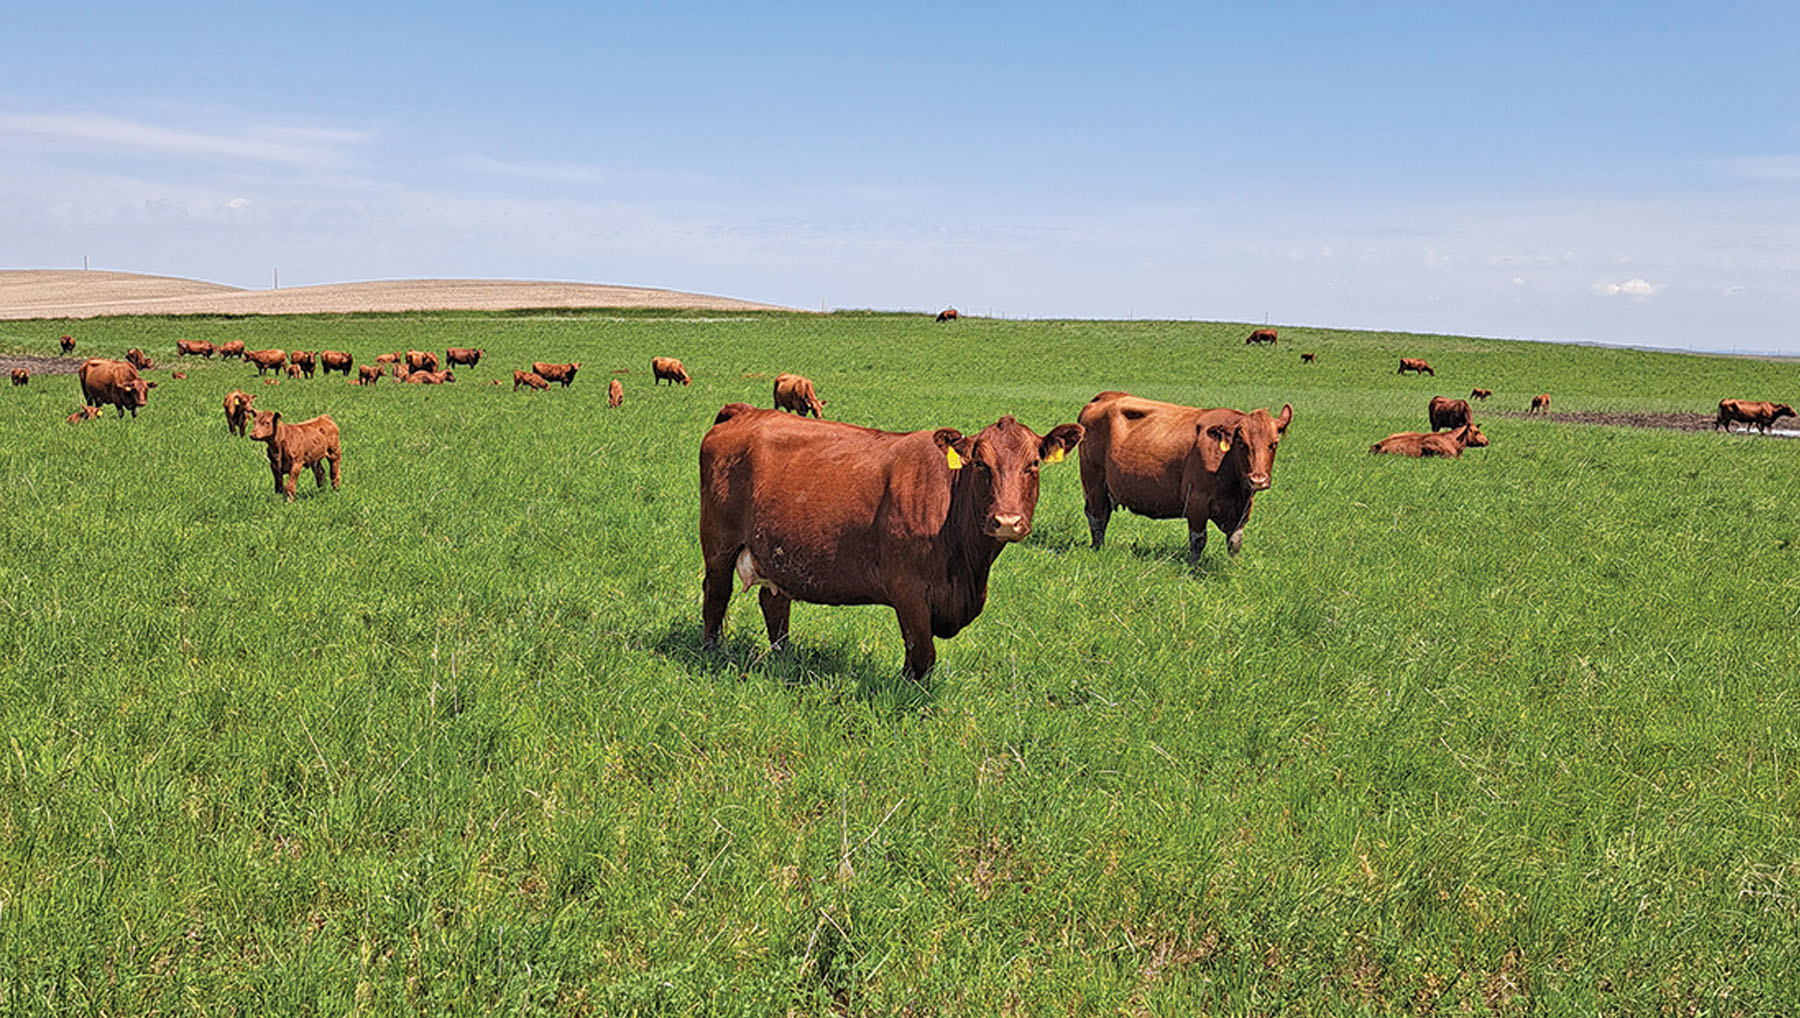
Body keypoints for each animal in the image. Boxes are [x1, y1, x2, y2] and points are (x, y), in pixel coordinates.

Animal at [700, 404, 1082, 680]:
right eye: (980, 464)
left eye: (1033, 465)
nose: (1006, 521)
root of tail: (746, 411)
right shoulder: (908, 592)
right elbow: (922, 656)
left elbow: (914, 655)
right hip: (718, 544)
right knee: (716, 596)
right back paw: (711, 652)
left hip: (777, 553)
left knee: (774, 603)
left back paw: (785, 657)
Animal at [1076, 392, 1293, 563]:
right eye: (1242, 444)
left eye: (1273, 444)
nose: (1258, 480)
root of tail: (1107, 396)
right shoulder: (1196, 502)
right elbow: (1198, 540)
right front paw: (1193, 568)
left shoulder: (1243, 509)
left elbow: (1234, 544)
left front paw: (1234, 568)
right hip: (1093, 481)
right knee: (1097, 517)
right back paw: (1098, 549)